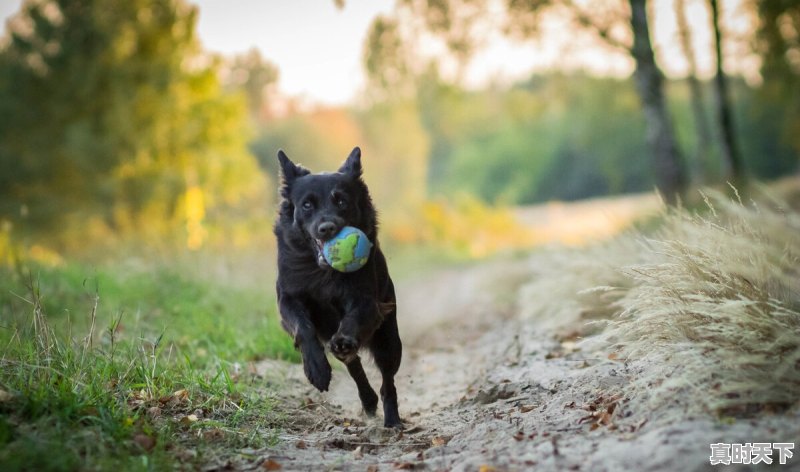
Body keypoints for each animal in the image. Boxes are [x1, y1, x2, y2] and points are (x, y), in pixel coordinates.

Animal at [276, 147, 404, 428]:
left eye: (341, 201)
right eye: (307, 205)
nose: (327, 228)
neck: (323, 273)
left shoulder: (365, 301)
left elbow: (352, 319)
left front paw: (344, 338)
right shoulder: (288, 299)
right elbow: (303, 328)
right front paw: (317, 369)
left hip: (389, 343)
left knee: (387, 383)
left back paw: (392, 420)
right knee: (353, 365)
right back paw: (367, 400)